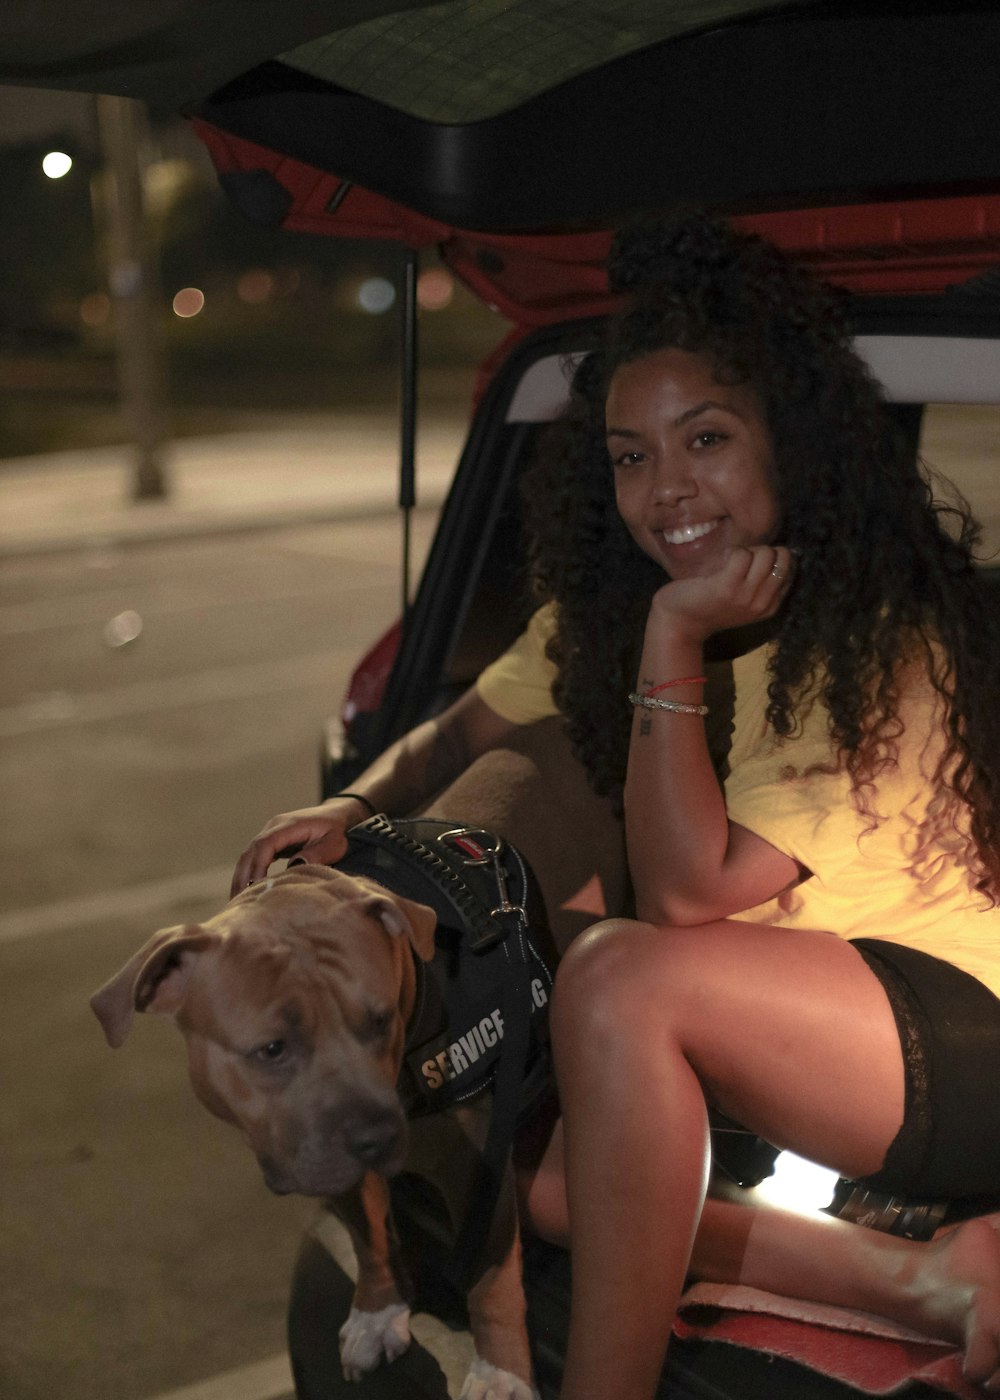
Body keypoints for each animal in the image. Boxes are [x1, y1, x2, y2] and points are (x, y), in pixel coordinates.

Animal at [91, 862, 537, 1400]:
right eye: (272, 1049)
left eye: (381, 1019)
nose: (377, 1135)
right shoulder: (331, 1166)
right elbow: (368, 1236)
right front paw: (377, 1313)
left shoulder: (478, 1165)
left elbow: (490, 1276)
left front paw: (500, 1373)